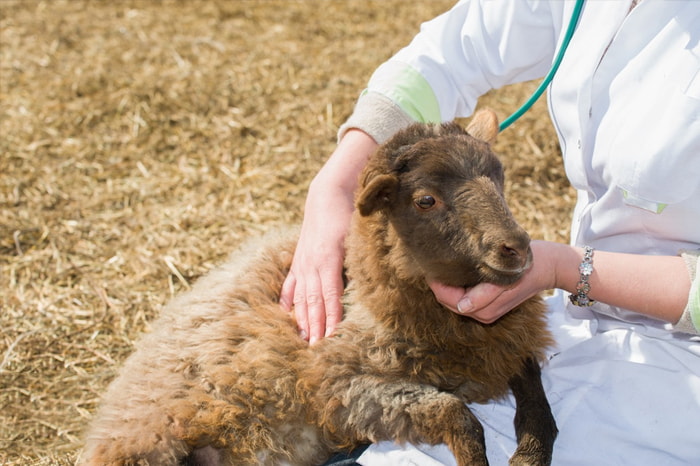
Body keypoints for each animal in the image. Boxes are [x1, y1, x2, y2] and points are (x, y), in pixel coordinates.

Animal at [79, 110, 556, 466]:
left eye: (499, 178)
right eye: (426, 200)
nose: (517, 248)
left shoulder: (506, 343)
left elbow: (534, 389)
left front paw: (531, 450)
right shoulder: (340, 387)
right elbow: (457, 414)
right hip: (152, 439)